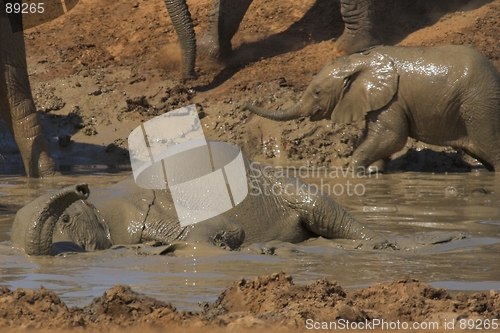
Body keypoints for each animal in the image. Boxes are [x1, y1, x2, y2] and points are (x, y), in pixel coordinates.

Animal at [10, 140, 386, 254]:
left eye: (66, 218)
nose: (80, 186)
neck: (100, 203)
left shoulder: (143, 214)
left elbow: (227, 228)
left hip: (281, 184)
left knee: (323, 210)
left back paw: (381, 244)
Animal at [244, 44, 500, 171]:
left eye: (317, 92)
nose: (247, 103)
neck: (358, 60)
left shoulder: (393, 98)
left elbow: (392, 136)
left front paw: (355, 170)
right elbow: (378, 136)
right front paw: (374, 170)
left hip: (479, 106)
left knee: (490, 148)